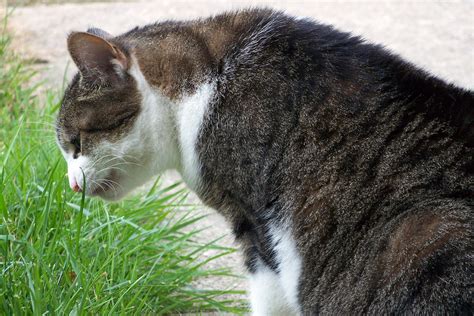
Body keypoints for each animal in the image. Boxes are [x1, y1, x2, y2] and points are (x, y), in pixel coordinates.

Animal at [56, 8, 474, 314]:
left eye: (75, 144)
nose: (71, 184)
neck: (205, 85)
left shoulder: (257, 229)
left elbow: (268, 299)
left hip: (422, 234)